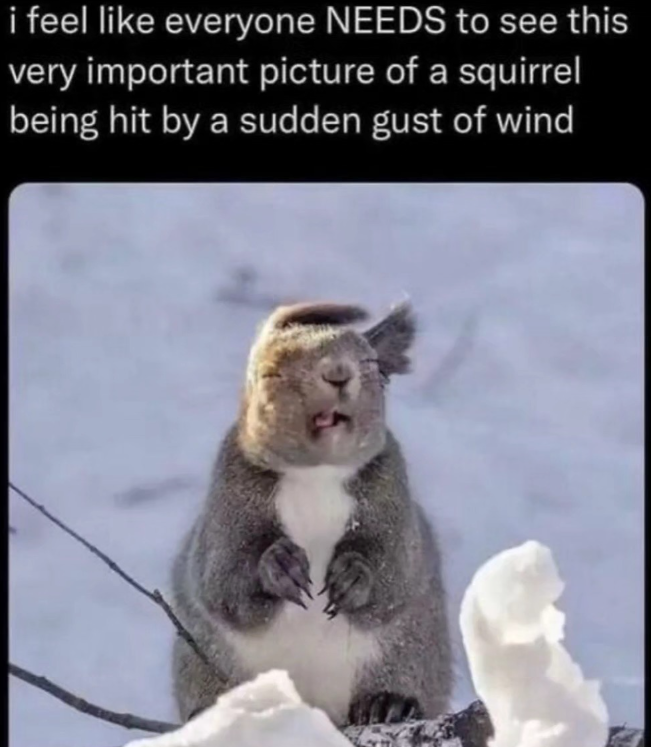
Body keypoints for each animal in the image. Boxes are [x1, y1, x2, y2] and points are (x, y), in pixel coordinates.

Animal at [171, 301, 452, 727]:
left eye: (370, 363)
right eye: (269, 373)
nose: (338, 373)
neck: (317, 474)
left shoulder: (394, 501)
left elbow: (396, 572)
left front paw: (355, 575)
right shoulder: (227, 504)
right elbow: (222, 582)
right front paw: (278, 565)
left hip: (409, 659)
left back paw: (388, 704)